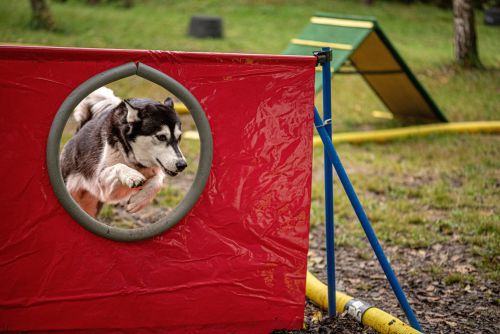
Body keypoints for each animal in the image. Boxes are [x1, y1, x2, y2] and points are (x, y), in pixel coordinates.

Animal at [60, 88, 186, 219]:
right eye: (161, 137)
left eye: (179, 137)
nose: (182, 165)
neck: (135, 161)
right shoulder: (103, 187)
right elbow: (119, 166)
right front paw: (132, 176)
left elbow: (159, 181)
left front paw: (139, 200)